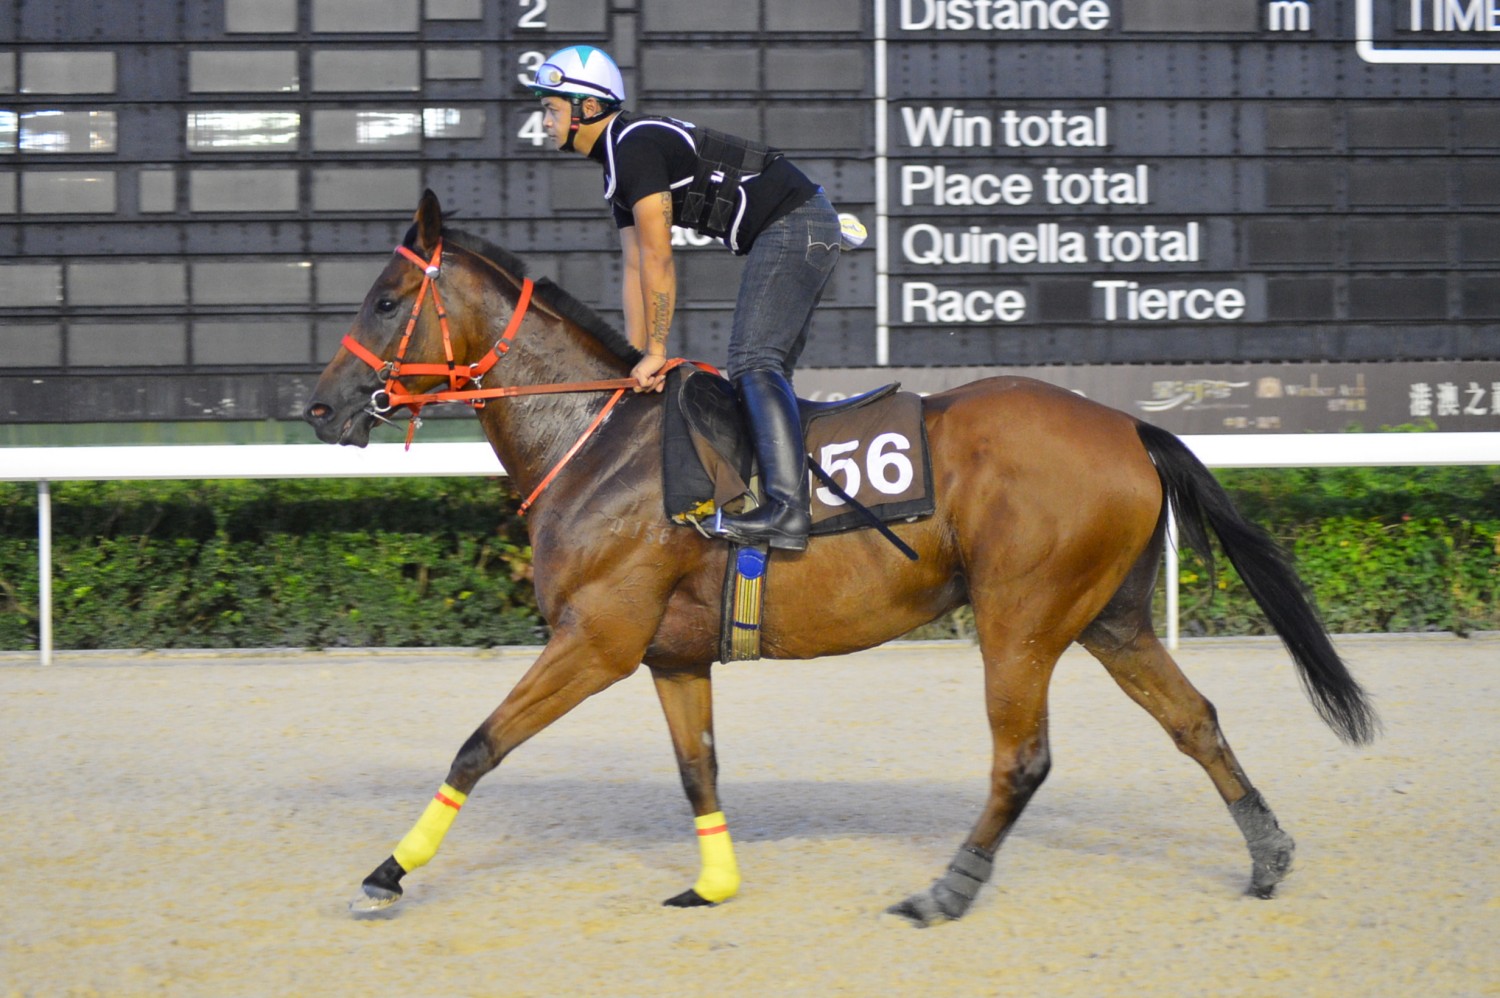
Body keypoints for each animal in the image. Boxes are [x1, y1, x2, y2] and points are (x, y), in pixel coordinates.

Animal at [304, 190, 1380, 924]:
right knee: (1193, 719)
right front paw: (714, 882)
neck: (596, 440)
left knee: (1021, 758)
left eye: (387, 296)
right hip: (1108, 614)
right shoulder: (671, 653)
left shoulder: (596, 637)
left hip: (1021, 615)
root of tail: (1127, 423)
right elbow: (698, 769)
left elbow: (478, 743)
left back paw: (947, 888)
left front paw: (385, 872)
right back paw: (1269, 852)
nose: (320, 407)